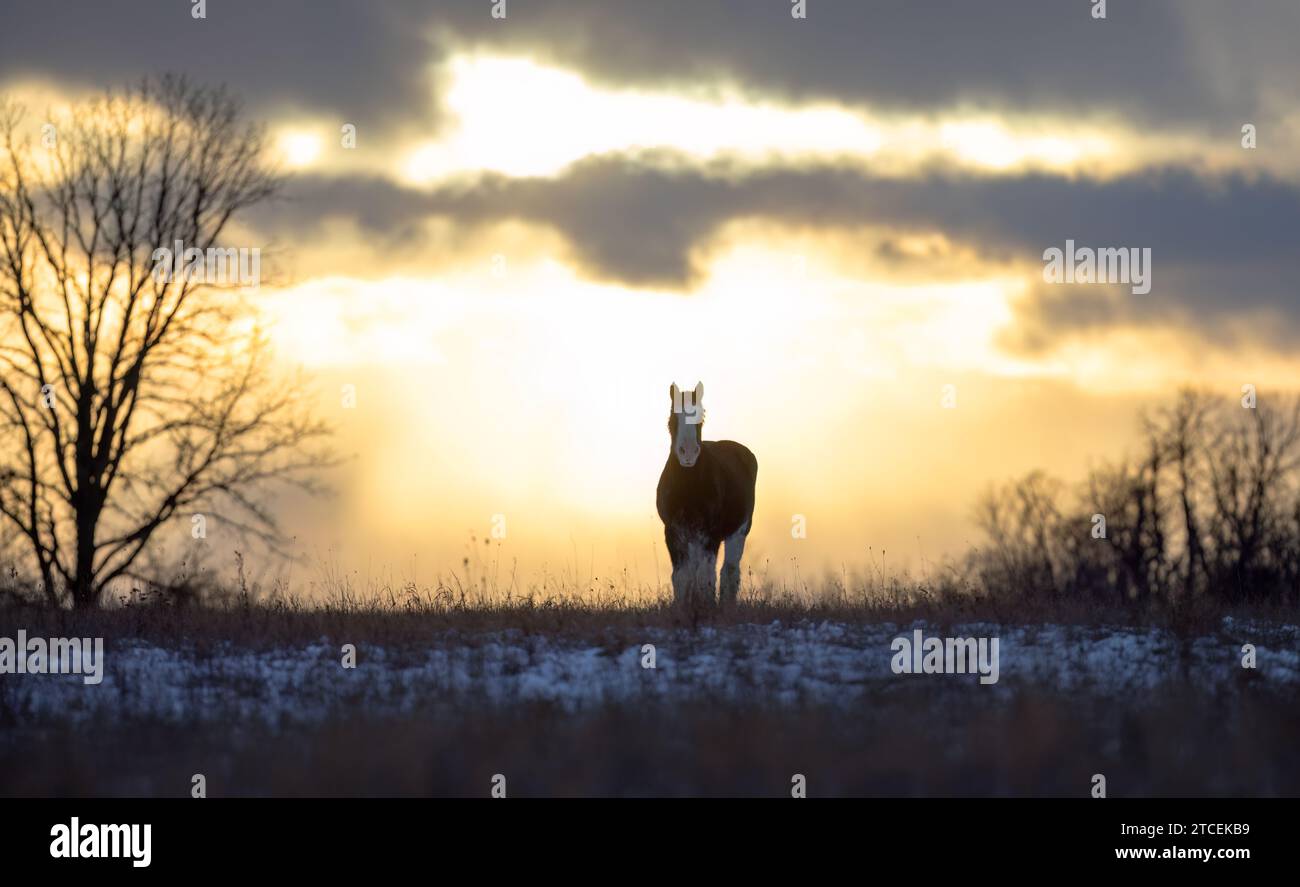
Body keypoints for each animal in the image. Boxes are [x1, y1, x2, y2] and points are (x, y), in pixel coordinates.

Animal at [655, 382, 759, 608]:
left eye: (701, 418)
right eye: (672, 418)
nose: (688, 453)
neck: (688, 488)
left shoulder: (711, 534)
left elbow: (706, 577)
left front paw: (707, 608)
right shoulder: (672, 532)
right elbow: (681, 577)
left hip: (738, 531)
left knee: (729, 571)